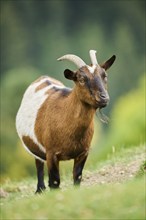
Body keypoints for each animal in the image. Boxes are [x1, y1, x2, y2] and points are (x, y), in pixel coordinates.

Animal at [16, 49, 116, 192]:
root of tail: (43, 77)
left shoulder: (83, 152)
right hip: (36, 149)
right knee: (39, 165)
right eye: (81, 79)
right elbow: (55, 181)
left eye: (104, 75)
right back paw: (40, 190)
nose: (104, 97)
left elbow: (77, 177)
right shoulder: (51, 154)